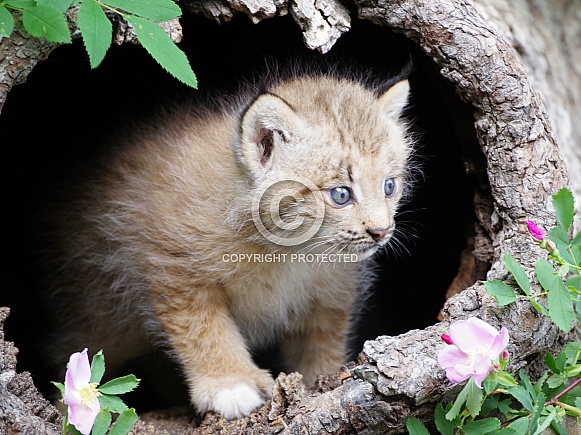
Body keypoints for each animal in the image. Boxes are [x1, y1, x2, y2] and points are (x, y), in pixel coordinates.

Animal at [47, 71, 414, 418]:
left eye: (389, 186)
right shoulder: (175, 266)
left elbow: (323, 342)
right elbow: (204, 329)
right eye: (340, 194)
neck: (289, 250)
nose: (382, 231)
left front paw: (321, 381)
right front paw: (230, 385)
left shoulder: (331, 293)